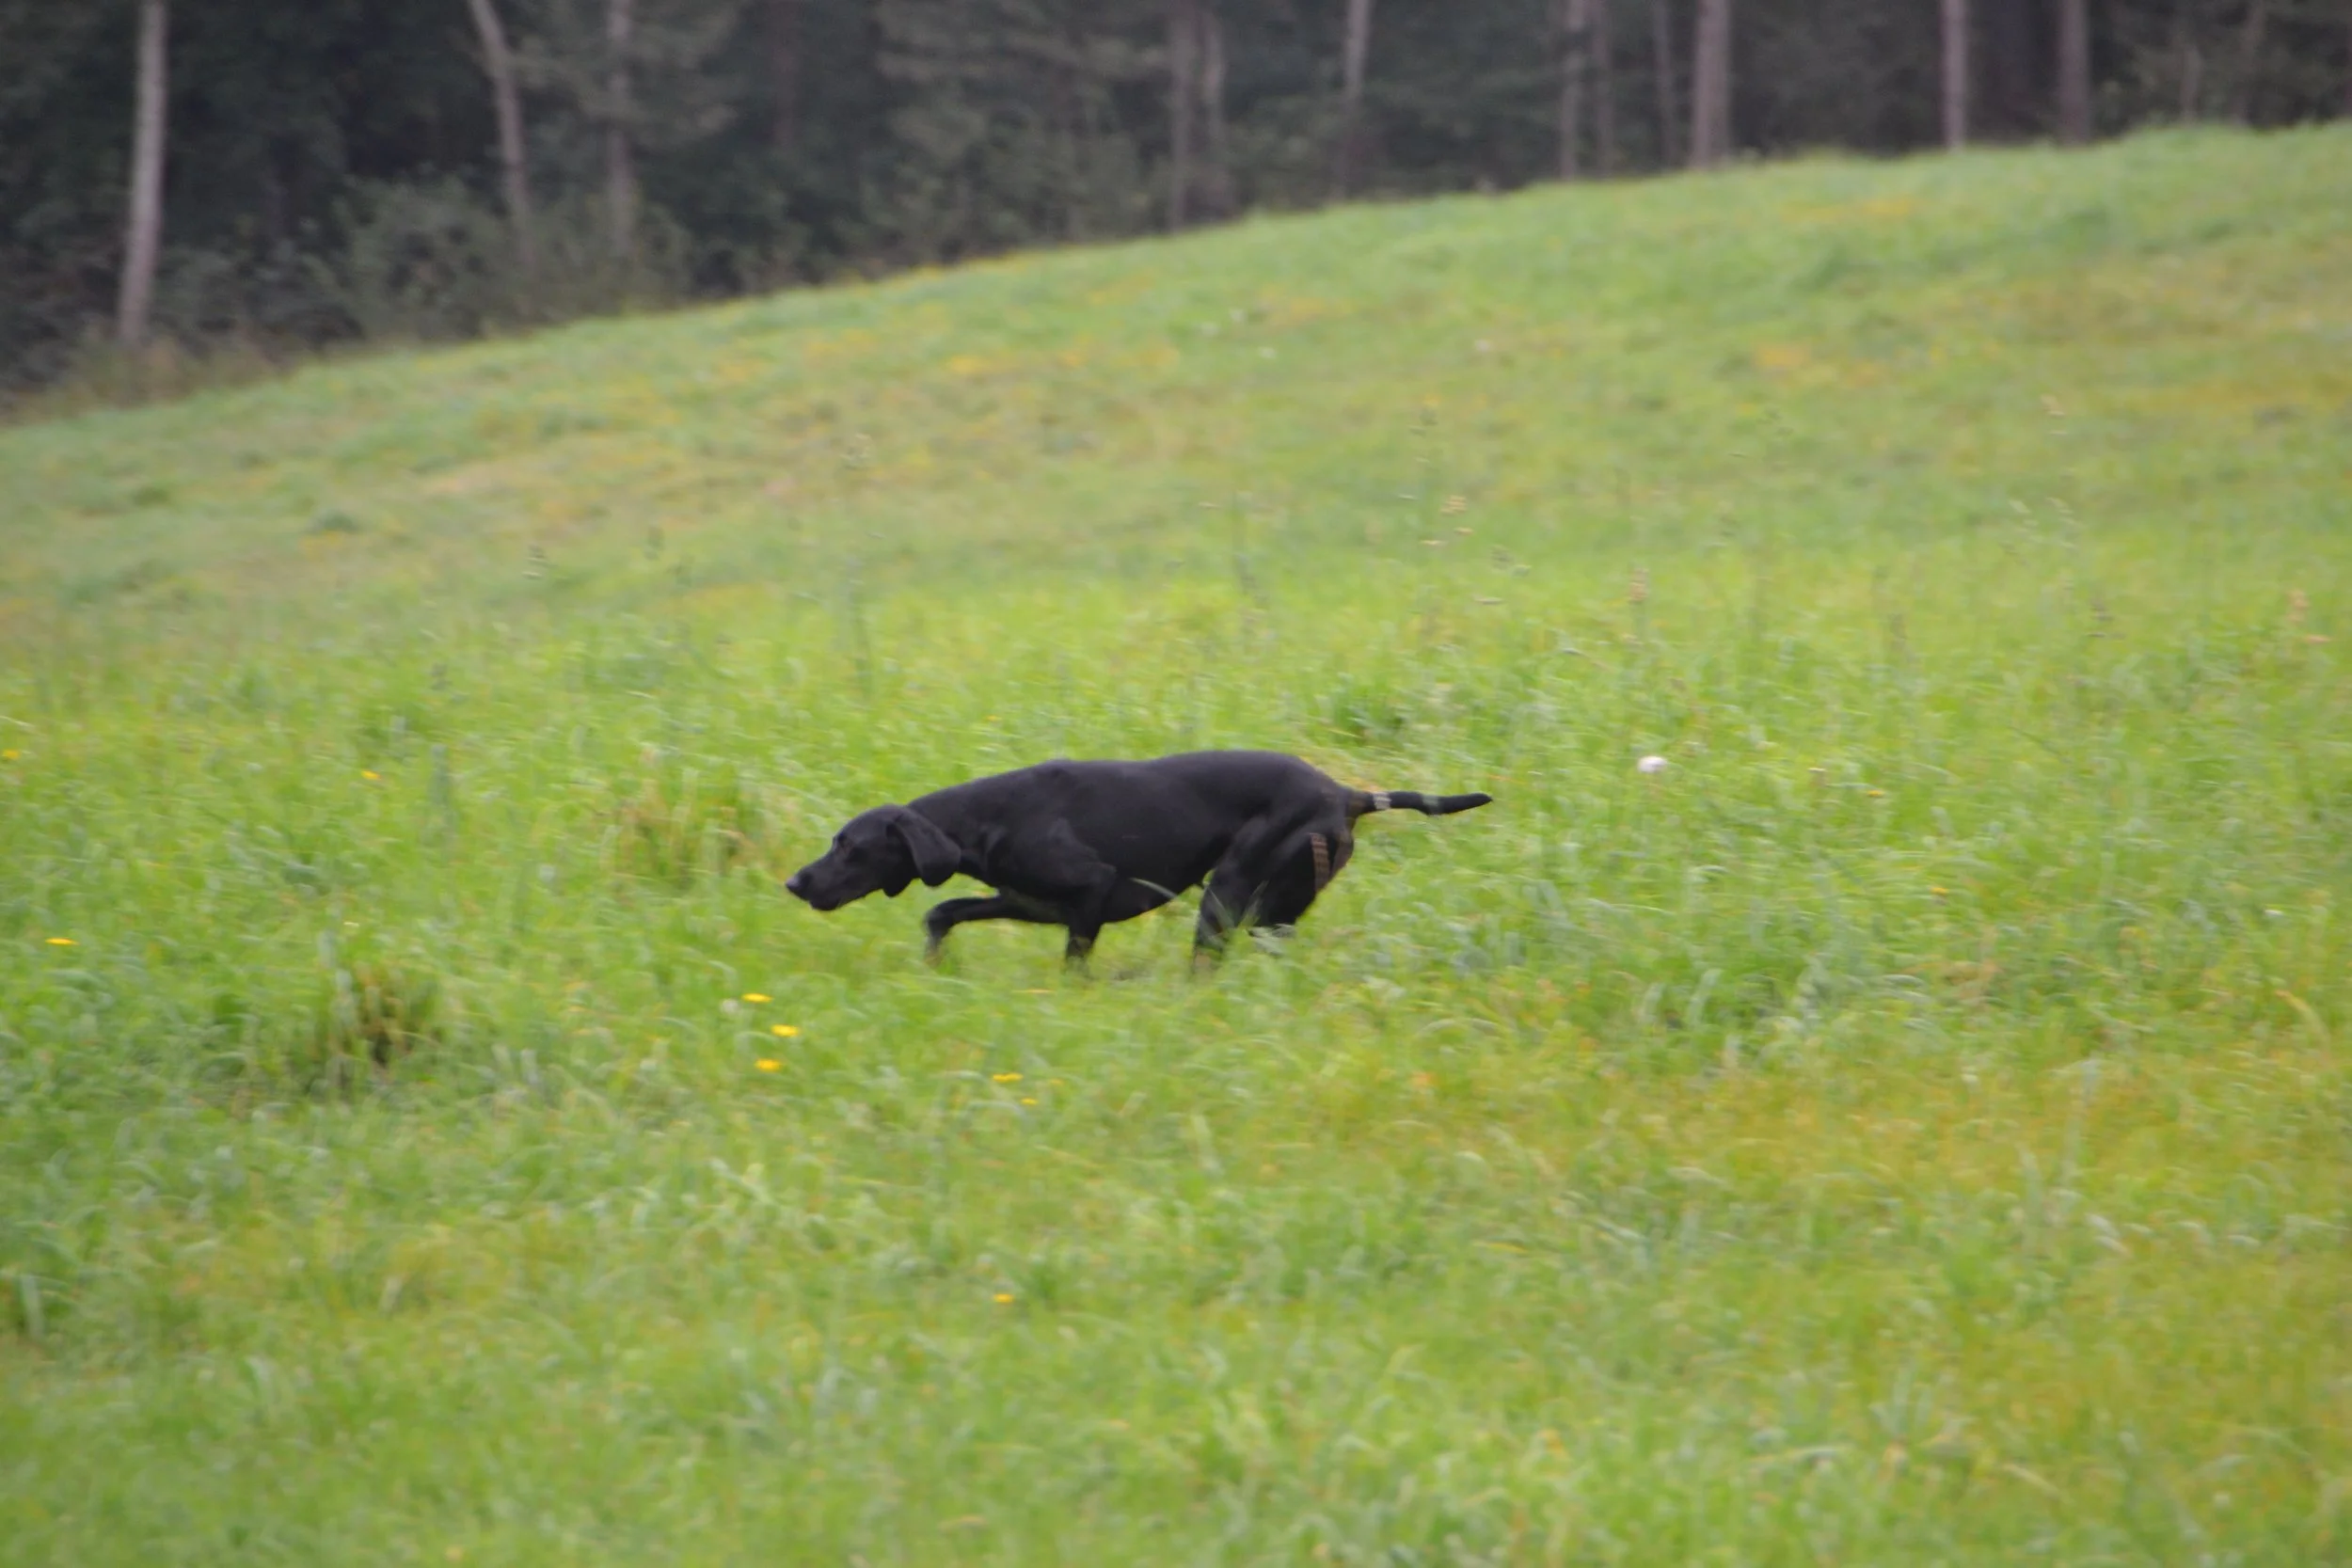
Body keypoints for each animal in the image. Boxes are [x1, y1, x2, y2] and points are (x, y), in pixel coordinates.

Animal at [783, 750, 1492, 964]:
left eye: (848, 845)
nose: (794, 882)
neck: (987, 818)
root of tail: (1348, 793)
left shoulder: (1089, 897)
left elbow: (1074, 966)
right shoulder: (1030, 903)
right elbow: (942, 912)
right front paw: (933, 964)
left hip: (1226, 894)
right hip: (1271, 910)